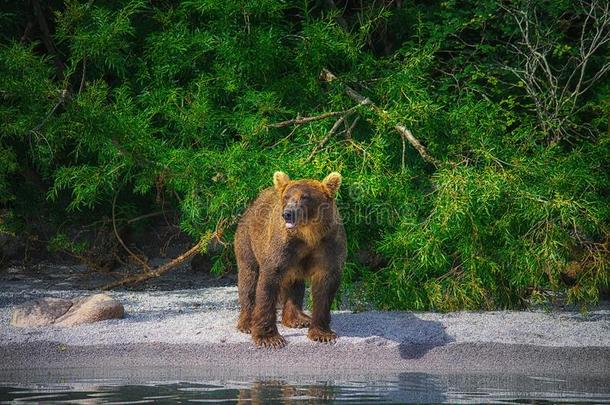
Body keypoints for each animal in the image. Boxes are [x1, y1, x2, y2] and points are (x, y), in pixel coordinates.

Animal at [234, 170, 344, 348]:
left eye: (305, 197)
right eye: (286, 197)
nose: (288, 214)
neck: (309, 235)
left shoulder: (328, 246)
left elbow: (325, 288)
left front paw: (323, 334)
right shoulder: (282, 248)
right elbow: (267, 285)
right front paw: (269, 338)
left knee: (294, 284)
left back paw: (298, 319)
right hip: (248, 241)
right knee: (248, 277)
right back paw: (247, 323)